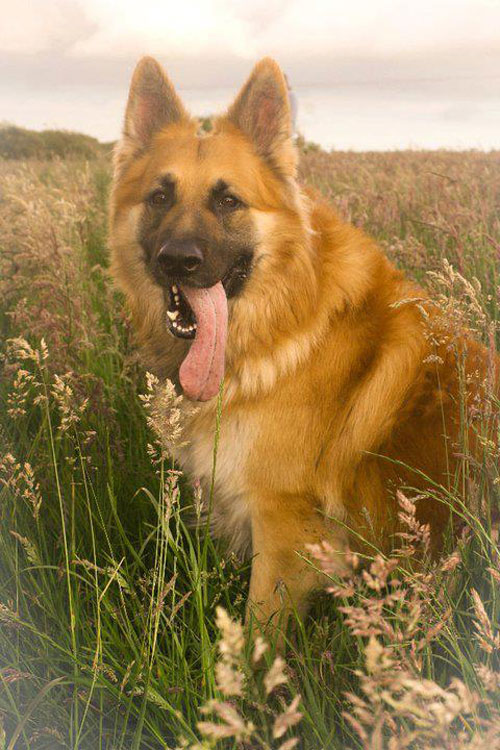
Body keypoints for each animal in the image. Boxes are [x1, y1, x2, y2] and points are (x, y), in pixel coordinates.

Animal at [108, 54, 496, 636]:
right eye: (159, 196)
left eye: (228, 200)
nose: (178, 260)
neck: (284, 330)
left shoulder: (283, 532)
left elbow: (254, 635)